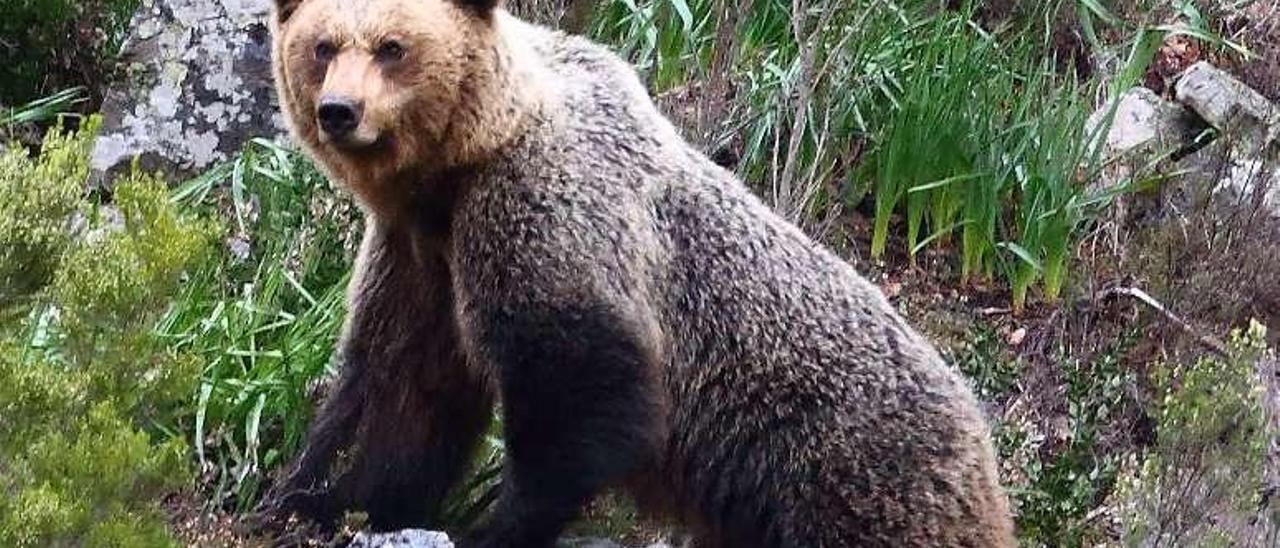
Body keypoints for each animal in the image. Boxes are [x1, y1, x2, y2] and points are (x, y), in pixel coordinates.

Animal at [262, 0, 1018, 542]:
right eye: (322, 45)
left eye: (393, 47)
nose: (340, 111)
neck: (458, 170)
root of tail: (984, 445)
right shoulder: (421, 256)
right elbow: (404, 384)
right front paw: (317, 494)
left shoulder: (547, 216)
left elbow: (585, 391)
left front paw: (493, 525)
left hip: (850, 480)